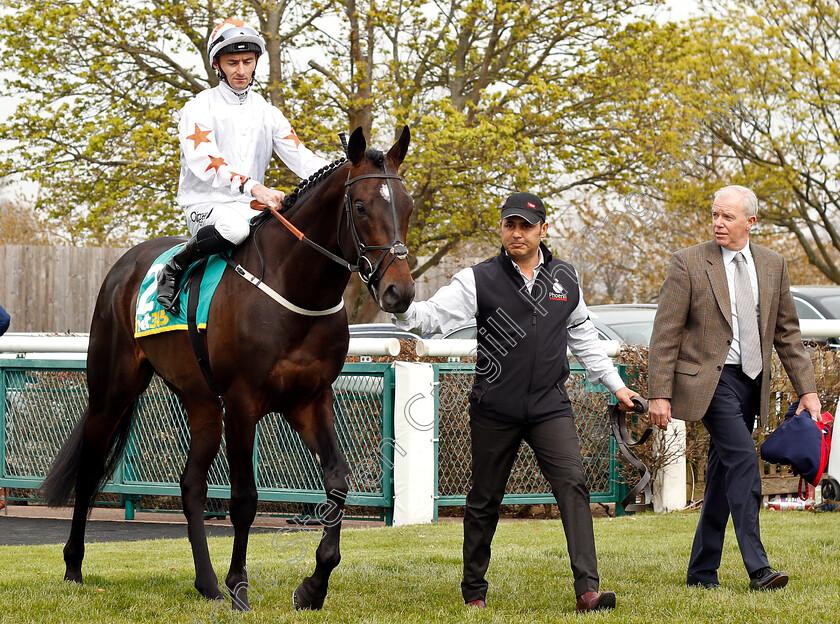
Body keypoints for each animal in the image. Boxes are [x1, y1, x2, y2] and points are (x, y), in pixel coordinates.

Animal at [41, 125, 416, 608]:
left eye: (407, 206)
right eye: (361, 206)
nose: (399, 292)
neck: (292, 288)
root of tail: (124, 266)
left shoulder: (311, 400)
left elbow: (336, 482)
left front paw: (313, 586)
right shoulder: (242, 403)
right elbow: (244, 500)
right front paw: (240, 586)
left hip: (201, 401)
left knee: (190, 485)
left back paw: (207, 583)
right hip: (112, 389)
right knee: (89, 472)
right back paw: (74, 568)